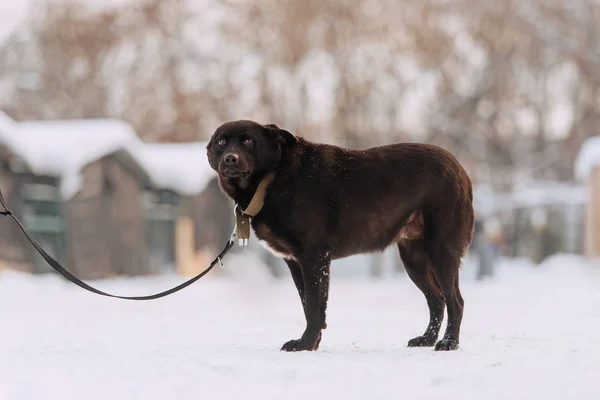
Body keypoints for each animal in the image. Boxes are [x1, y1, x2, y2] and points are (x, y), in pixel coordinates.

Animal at [206, 120, 474, 352]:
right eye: (221, 142)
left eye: (249, 140)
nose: (231, 158)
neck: (273, 178)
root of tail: (460, 168)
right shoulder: (296, 262)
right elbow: (308, 305)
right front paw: (312, 343)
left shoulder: (314, 258)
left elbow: (314, 306)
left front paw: (305, 344)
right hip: (413, 259)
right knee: (437, 300)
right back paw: (427, 339)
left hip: (441, 251)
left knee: (456, 302)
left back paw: (448, 343)